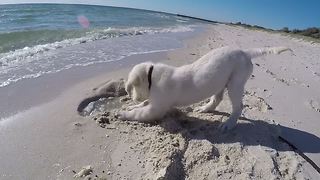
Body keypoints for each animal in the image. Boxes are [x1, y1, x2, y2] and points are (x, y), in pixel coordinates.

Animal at [119, 46, 292, 131]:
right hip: (221, 81)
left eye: (131, 88)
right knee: (217, 98)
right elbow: (142, 104)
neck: (152, 75)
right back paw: (205, 108)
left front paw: (123, 113)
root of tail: (245, 52)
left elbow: (140, 112)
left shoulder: (156, 108)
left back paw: (229, 124)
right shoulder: (154, 101)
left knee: (238, 106)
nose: (131, 96)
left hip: (235, 83)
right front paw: (132, 106)